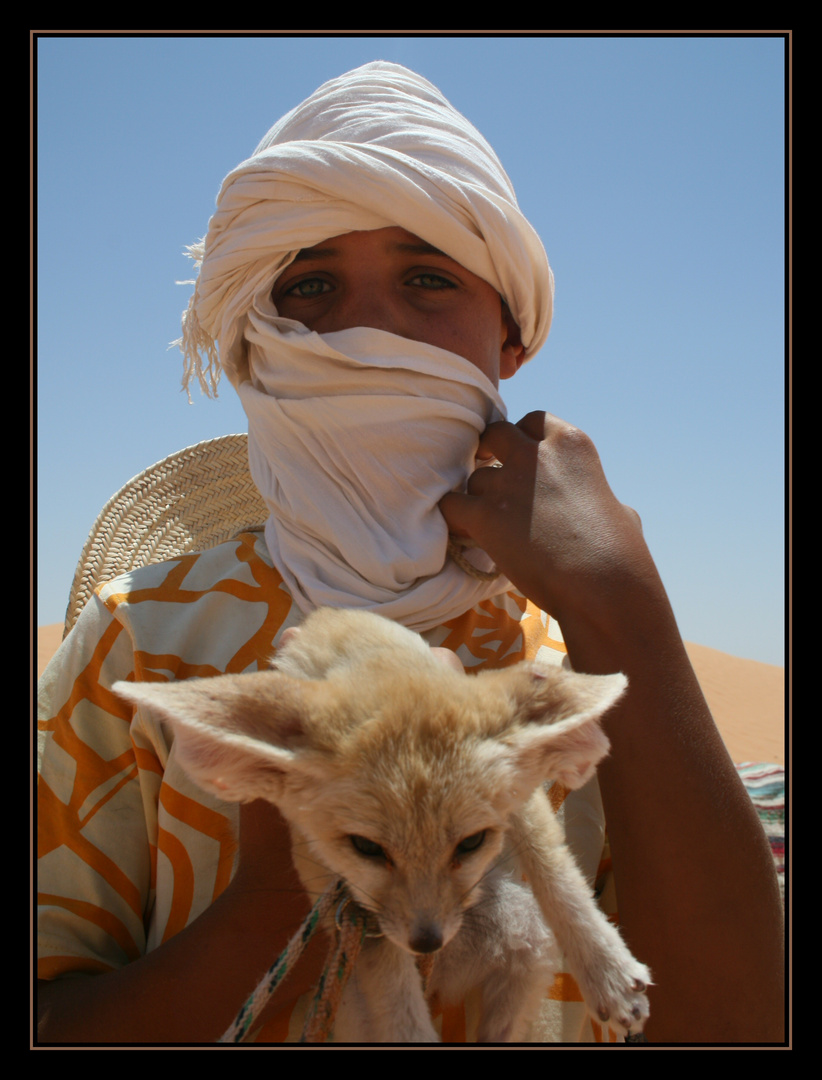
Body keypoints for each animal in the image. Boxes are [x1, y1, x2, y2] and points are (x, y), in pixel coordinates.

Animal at [115, 609, 652, 1036]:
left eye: (472, 843)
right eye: (367, 849)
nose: (427, 942)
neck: (367, 650)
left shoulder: (520, 801)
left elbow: (554, 868)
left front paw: (607, 970)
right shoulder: (344, 895)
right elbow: (391, 994)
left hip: (525, 939)